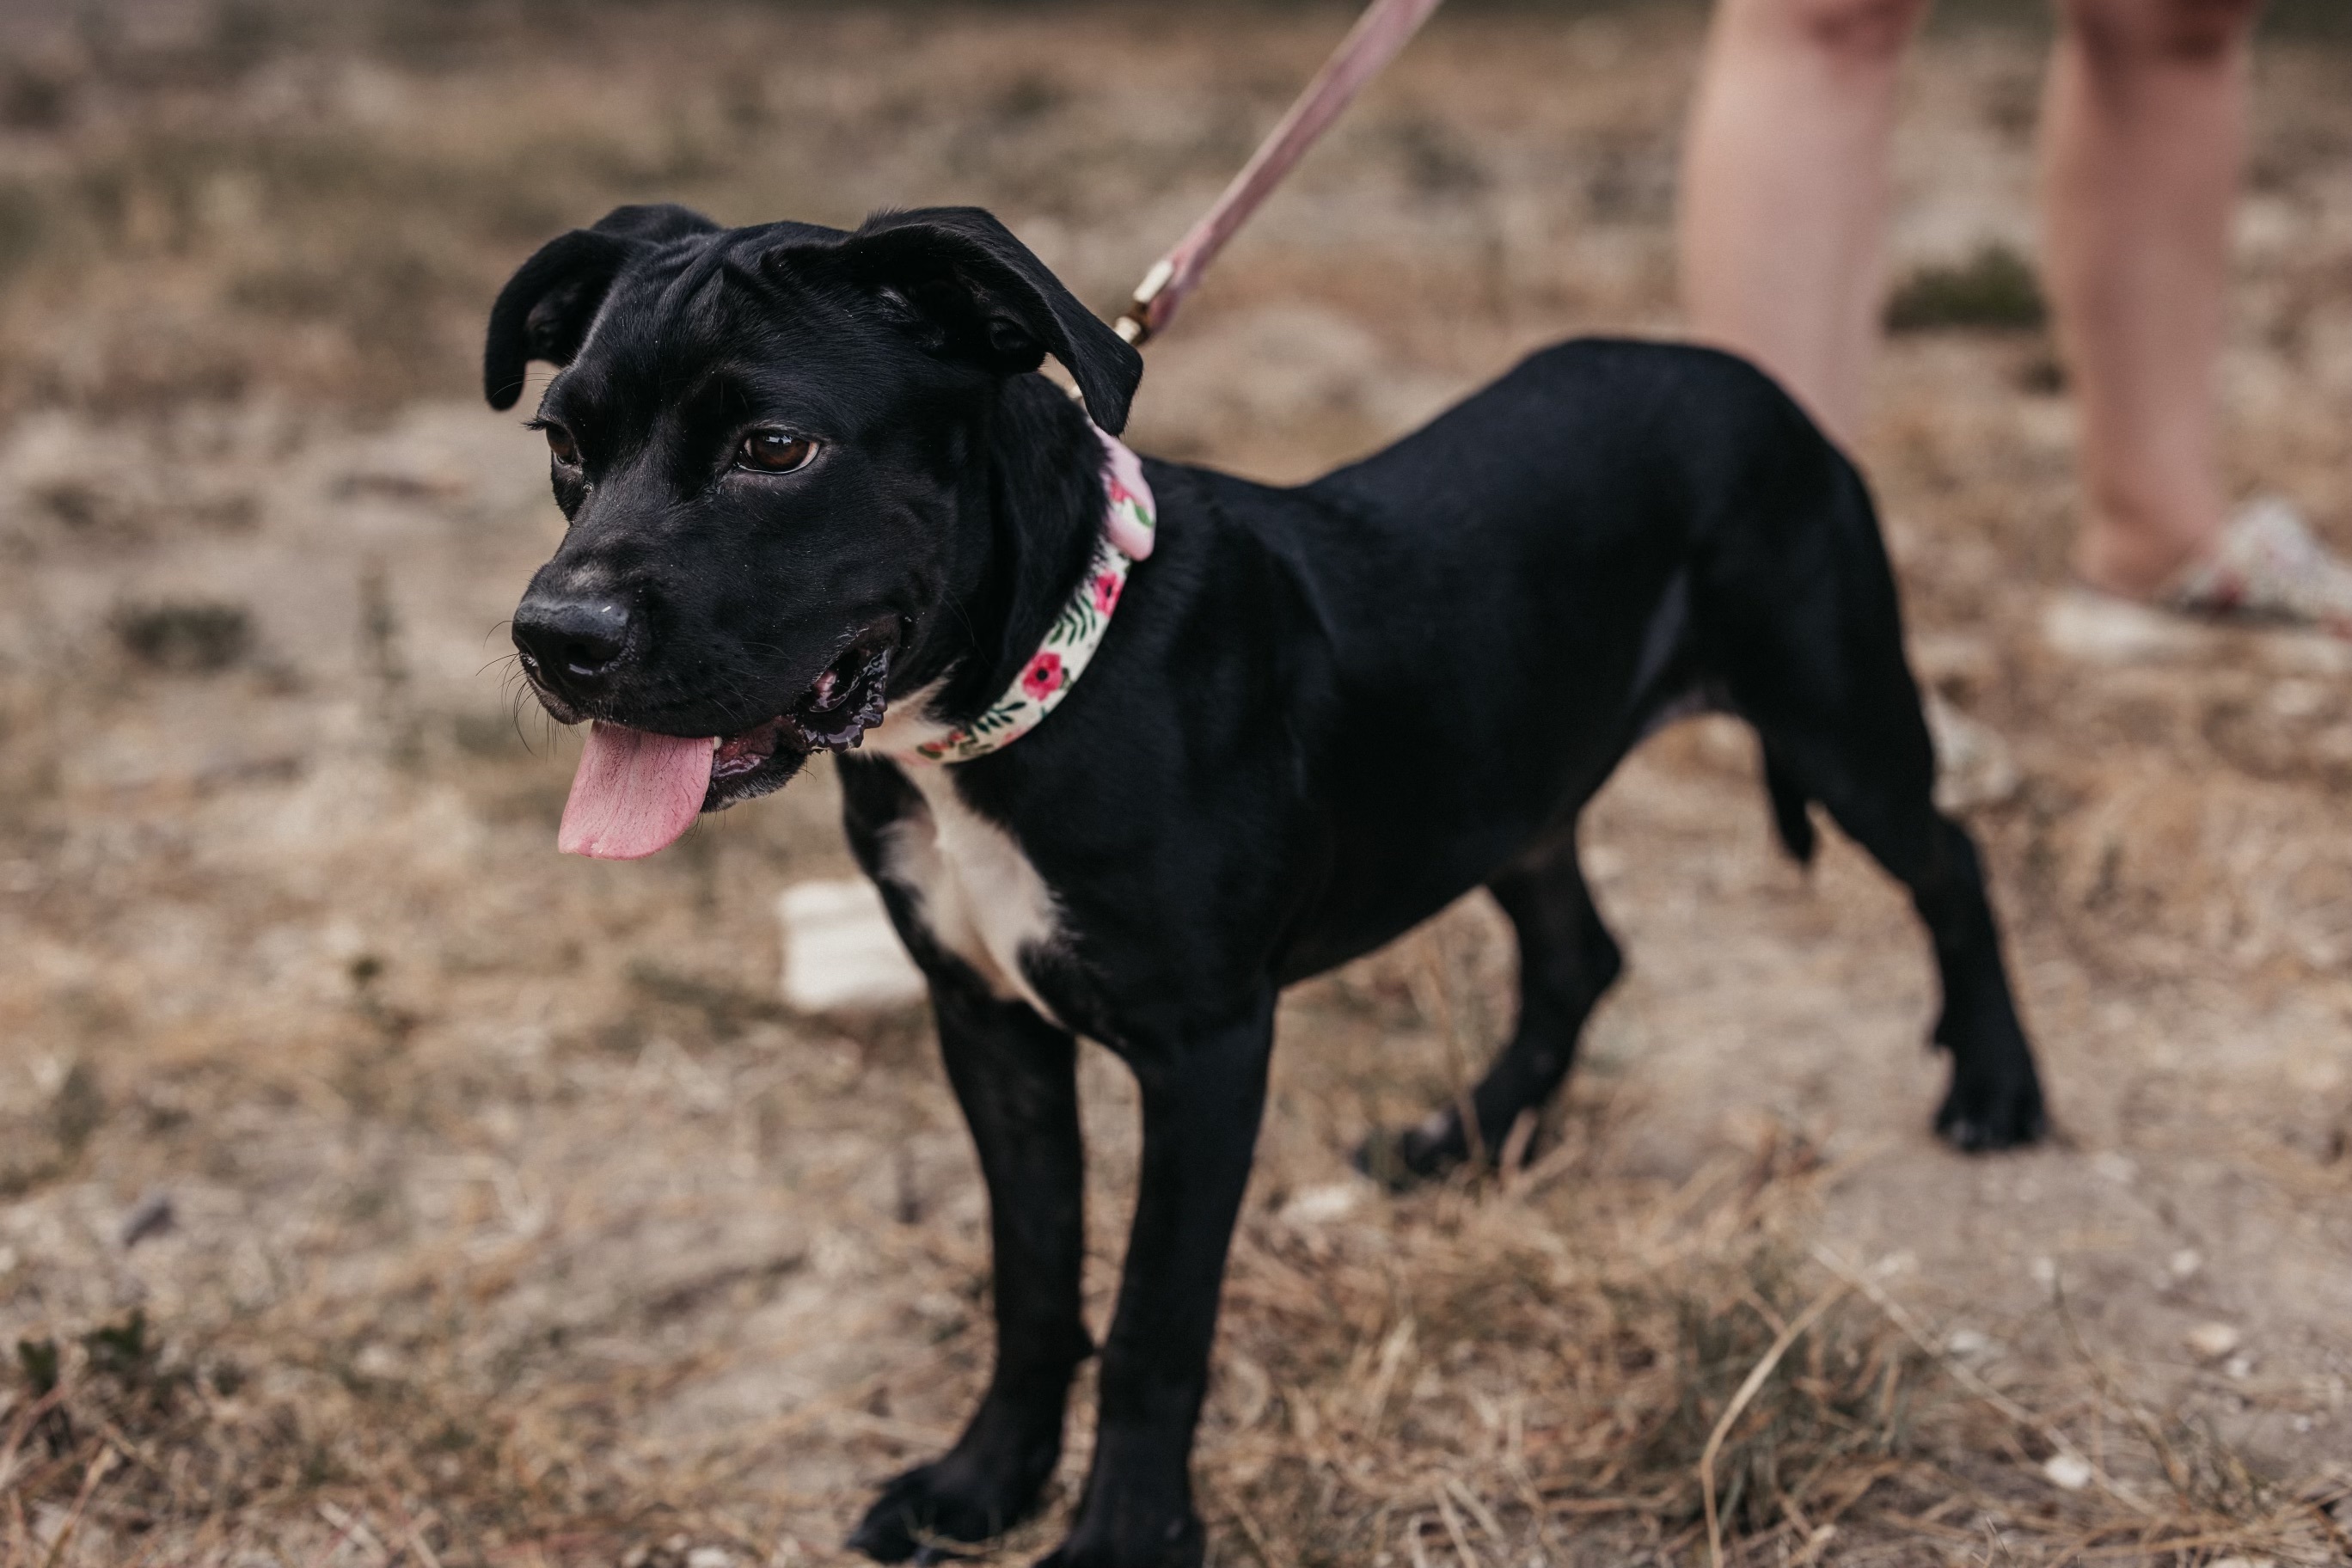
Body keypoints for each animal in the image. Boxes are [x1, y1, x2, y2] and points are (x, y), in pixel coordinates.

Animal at [491, 202, 2041, 1560]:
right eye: (565, 444)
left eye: (774, 446)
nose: (554, 636)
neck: (1029, 689)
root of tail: (1743, 377)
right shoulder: (985, 1024)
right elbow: (1033, 1282)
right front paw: (981, 1485)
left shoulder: (1208, 1050)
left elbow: (1155, 1326)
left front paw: (1121, 1536)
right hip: (1504, 780)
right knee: (1577, 950)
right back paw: (1464, 1140)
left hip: (1834, 712)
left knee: (1951, 862)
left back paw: (1996, 1087)